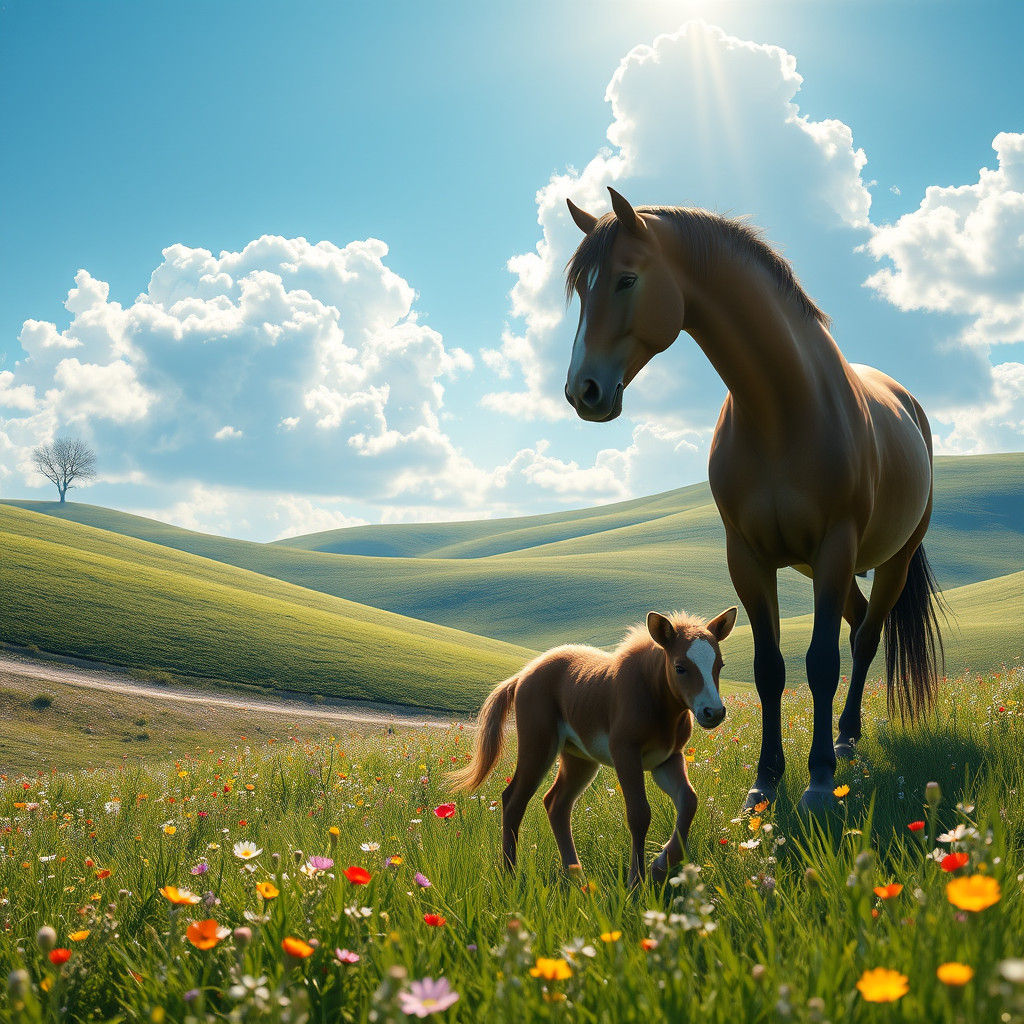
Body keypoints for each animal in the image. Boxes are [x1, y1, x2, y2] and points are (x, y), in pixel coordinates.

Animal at [450, 606, 737, 886]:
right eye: (680, 667)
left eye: (720, 665)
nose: (713, 712)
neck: (654, 697)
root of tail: (523, 674)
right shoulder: (625, 753)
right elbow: (639, 814)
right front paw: (635, 882)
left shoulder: (667, 759)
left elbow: (689, 801)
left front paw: (658, 867)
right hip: (538, 746)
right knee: (513, 800)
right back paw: (510, 874)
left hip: (579, 759)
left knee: (556, 803)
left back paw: (576, 875)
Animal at [562, 188, 944, 813]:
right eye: (579, 289)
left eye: (625, 279)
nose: (582, 391)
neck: (781, 408)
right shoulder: (747, 556)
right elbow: (769, 668)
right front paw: (765, 782)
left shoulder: (835, 548)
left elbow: (821, 663)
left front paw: (817, 783)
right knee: (859, 623)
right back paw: (846, 738)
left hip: (891, 561)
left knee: (865, 639)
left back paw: (844, 744)